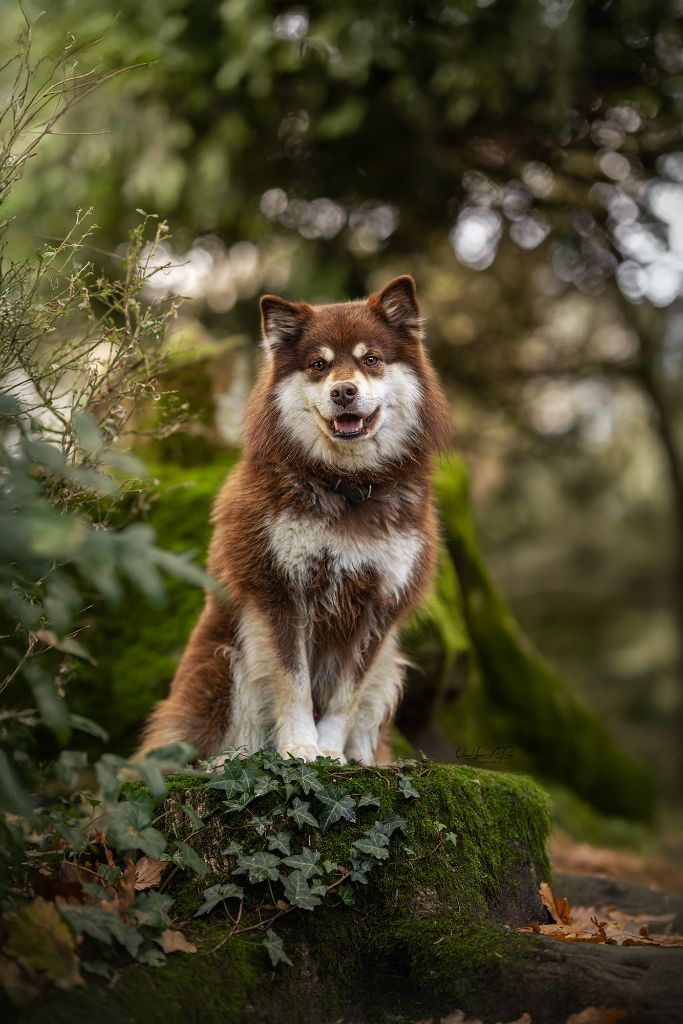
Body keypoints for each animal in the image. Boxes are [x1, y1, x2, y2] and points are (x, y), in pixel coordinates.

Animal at [138, 276, 448, 765]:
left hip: (388, 665)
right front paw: (300, 747)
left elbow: (345, 696)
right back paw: (230, 759)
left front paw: (331, 751)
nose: (343, 391)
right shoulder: (281, 590)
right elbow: (293, 683)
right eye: (318, 365)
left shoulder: (378, 604)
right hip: (228, 656)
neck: (347, 485)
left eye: (371, 360)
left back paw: (365, 758)